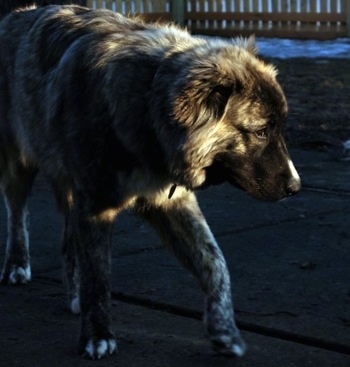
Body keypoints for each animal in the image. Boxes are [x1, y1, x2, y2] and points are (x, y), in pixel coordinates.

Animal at [0, 2, 300, 360]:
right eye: (261, 131)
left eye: (278, 129)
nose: (296, 187)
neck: (147, 103)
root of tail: (17, 14)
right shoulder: (95, 205)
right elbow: (99, 275)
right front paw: (97, 335)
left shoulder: (170, 201)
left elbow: (215, 262)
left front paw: (224, 330)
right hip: (18, 162)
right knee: (18, 214)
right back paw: (17, 265)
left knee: (68, 239)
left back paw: (73, 294)